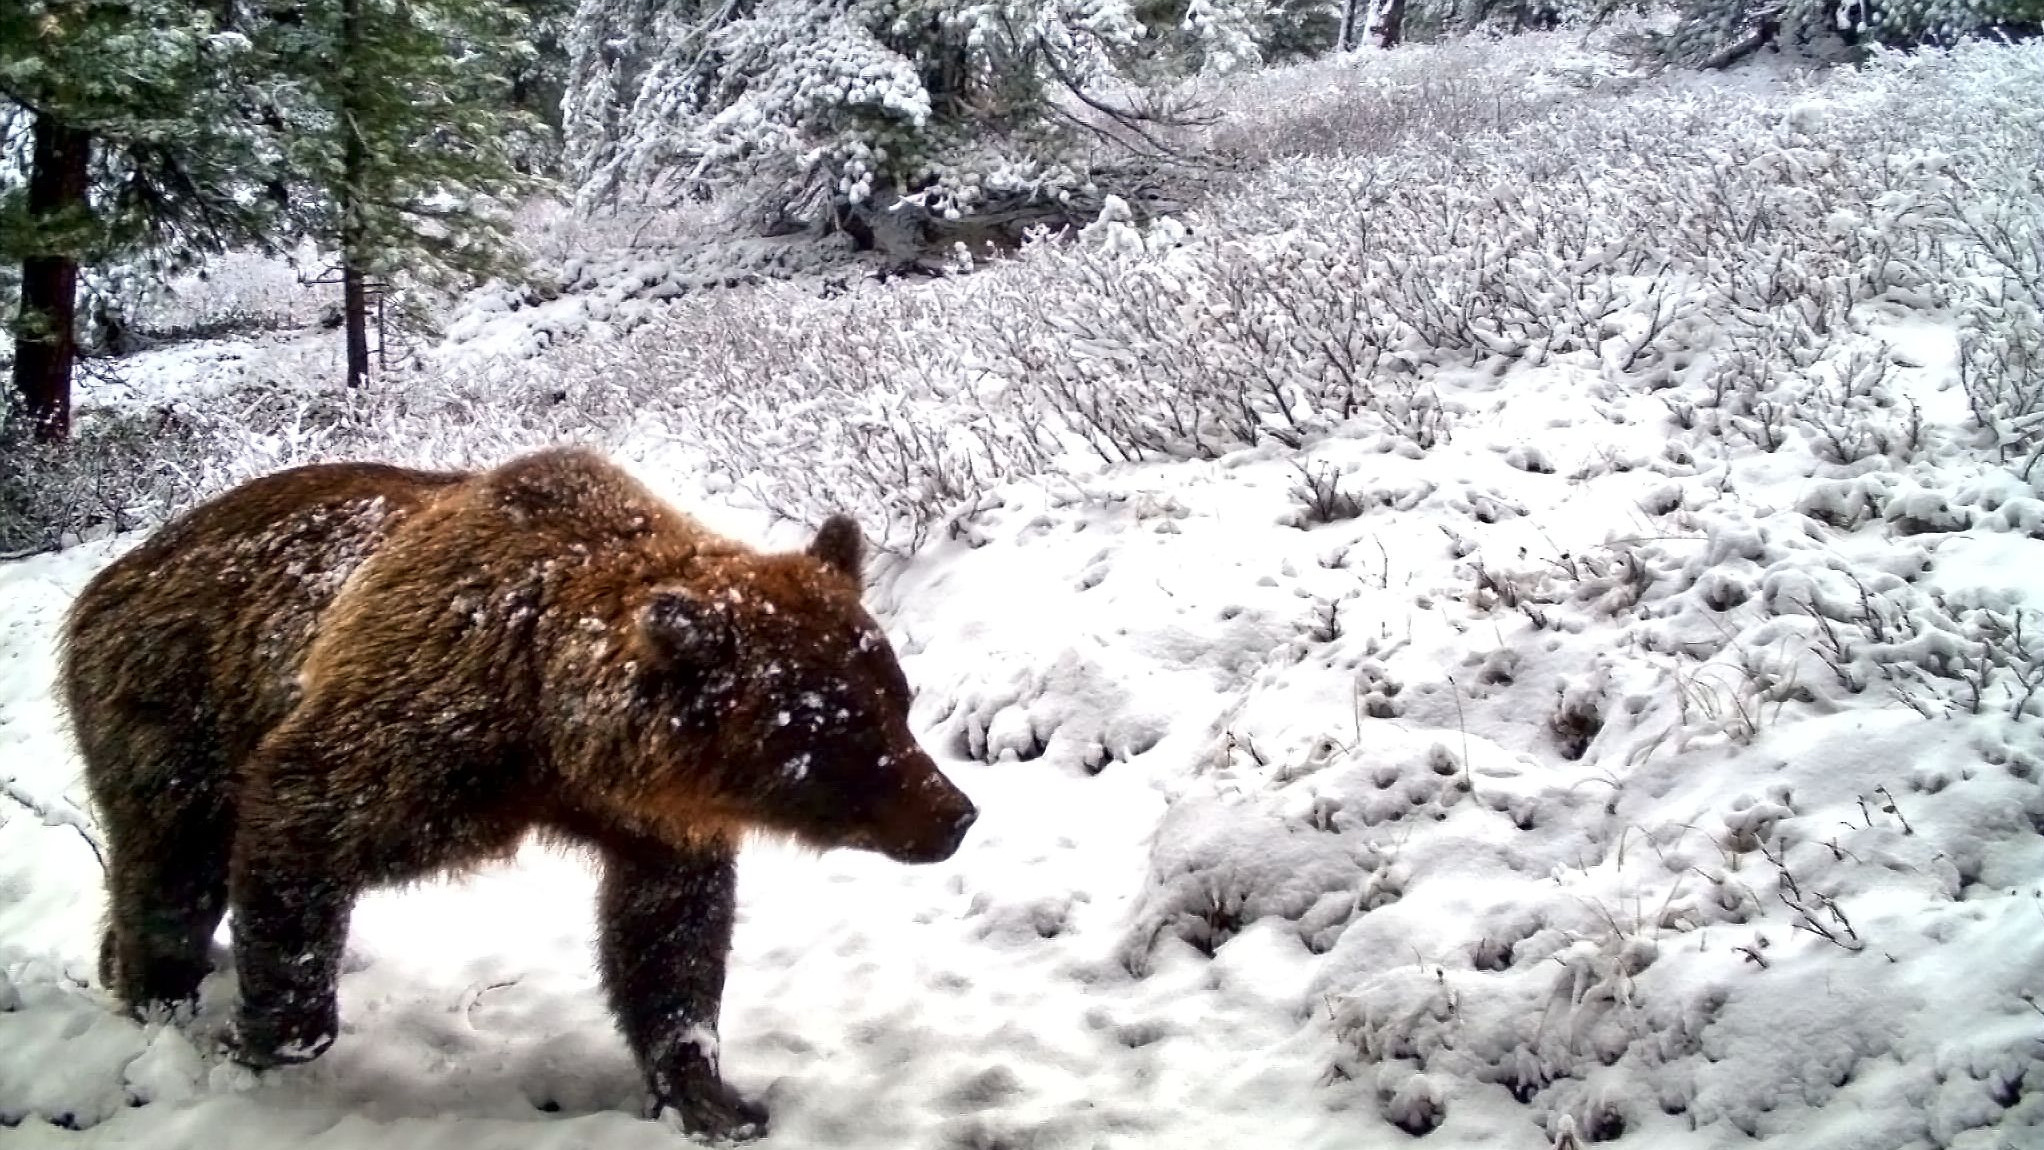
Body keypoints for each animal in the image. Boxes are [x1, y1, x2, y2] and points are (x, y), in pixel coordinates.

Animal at [63, 445, 981, 1135]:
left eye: (896, 700)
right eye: (835, 734)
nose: (954, 814)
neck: (546, 727)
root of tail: (118, 568)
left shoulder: (650, 814)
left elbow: (670, 936)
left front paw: (711, 1094)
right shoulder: (412, 726)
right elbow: (303, 814)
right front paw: (260, 1038)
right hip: (174, 704)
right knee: (171, 864)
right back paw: (163, 995)